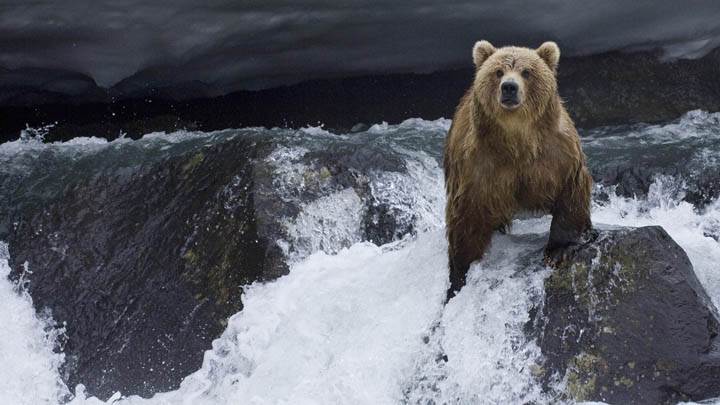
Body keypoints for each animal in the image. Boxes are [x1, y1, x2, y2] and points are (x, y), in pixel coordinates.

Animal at [443, 40, 592, 300]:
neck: (517, 140)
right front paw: (459, 274)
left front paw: (559, 250)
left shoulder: (557, 154)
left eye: (526, 72)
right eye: (498, 71)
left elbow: (570, 193)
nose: (509, 88)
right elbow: (466, 217)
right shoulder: (477, 166)